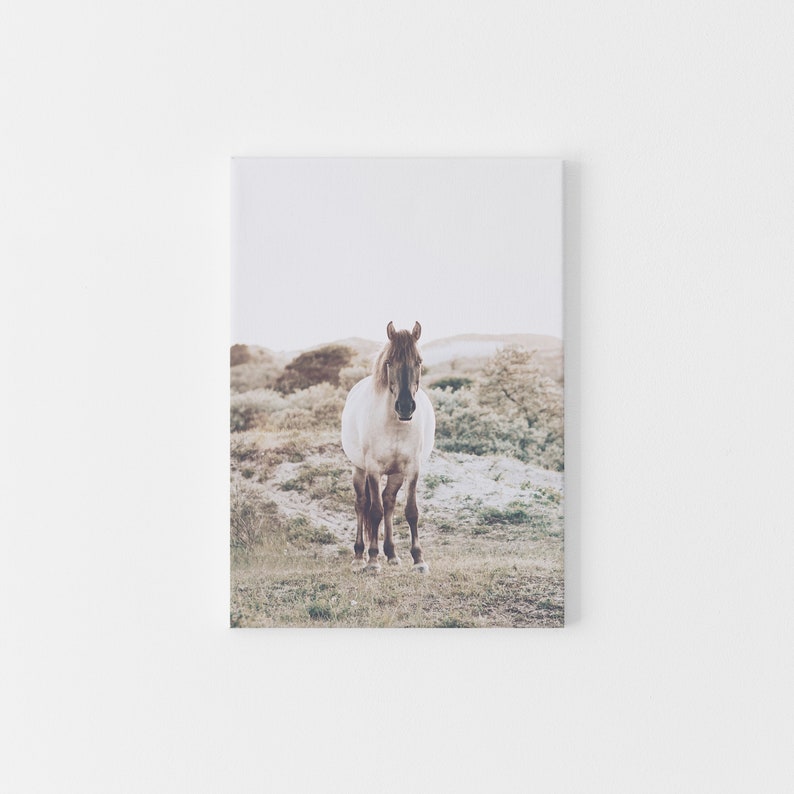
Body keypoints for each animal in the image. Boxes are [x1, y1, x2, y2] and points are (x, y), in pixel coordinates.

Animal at [341, 321, 436, 573]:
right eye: (389, 362)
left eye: (418, 361)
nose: (405, 406)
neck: (395, 424)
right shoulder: (373, 469)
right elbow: (374, 512)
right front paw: (373, 561)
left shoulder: (412, 469)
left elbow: (411, 511)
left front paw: (418, 559)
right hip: (359, 469)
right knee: (362, 504)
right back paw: (359, 556)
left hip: (396, 474)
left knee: (389, 501)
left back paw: (392, 554)